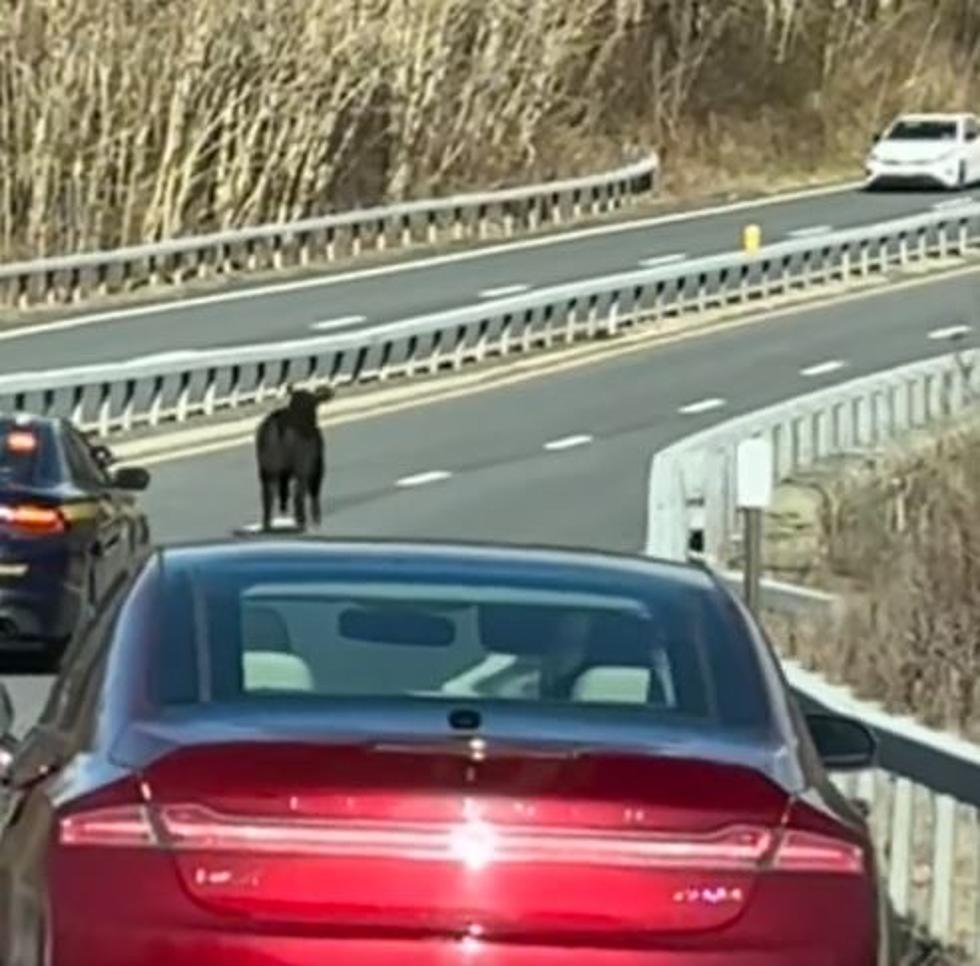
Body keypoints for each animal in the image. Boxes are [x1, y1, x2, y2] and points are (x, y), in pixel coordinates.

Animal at [255, 384, 334, 532]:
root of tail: (280, 425)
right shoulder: (317, 466)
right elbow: (314, 491)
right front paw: (317, 520)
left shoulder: (283, 472)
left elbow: (283, 489)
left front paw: (283, 508)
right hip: (301, 466)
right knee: (298, 493)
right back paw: (302, 522)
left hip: (267, 467)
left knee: (268, 493)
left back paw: (267, 524)